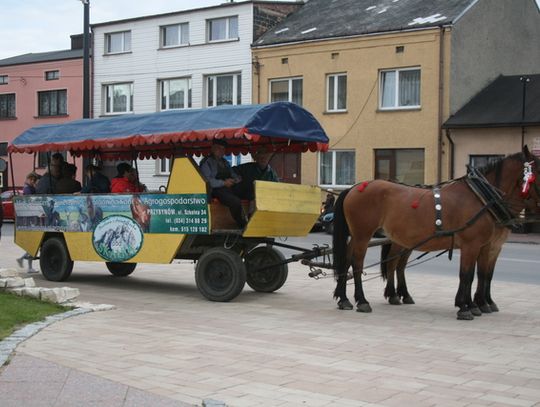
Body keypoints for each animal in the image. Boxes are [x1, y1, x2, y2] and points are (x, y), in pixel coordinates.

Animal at [334, 147, 540, 322]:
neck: (482, 198)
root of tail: (354, 187)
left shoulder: (486, 246)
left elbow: (482, 275)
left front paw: (477, 304)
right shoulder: (472, 245)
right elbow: (467, 275)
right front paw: (466, 306)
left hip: (370, 237)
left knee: (355, 260)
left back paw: (346, 299)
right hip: (363, 234)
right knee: (358, 264)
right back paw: (362, 300)